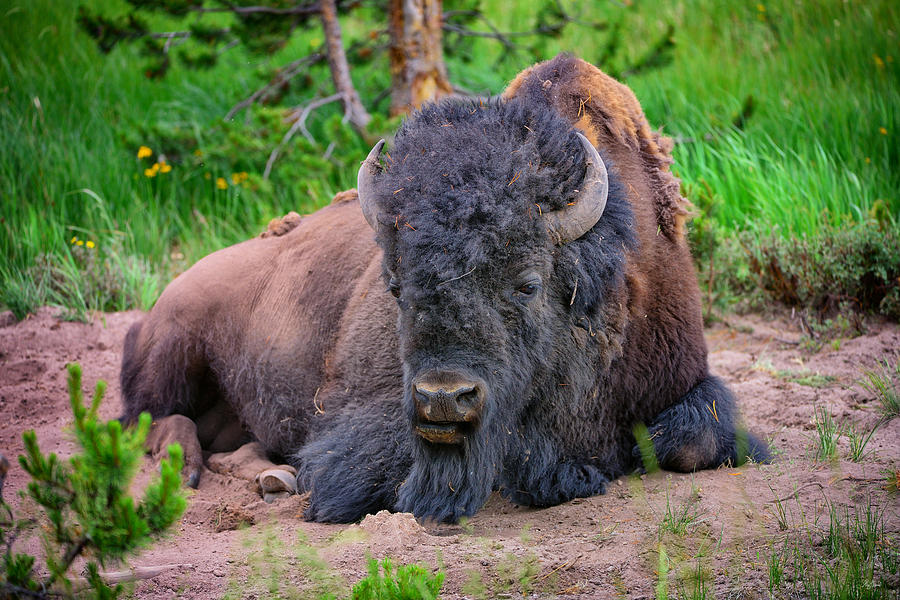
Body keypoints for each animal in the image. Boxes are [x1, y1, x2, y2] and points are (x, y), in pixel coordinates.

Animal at [121, 54, 768, 523]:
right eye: (394, 284)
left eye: (528, 283)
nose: (443, 399)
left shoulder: (683, 375)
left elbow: (693, 442)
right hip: (174, 343)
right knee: (150, 417)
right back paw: (191, 467)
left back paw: (267, 475)